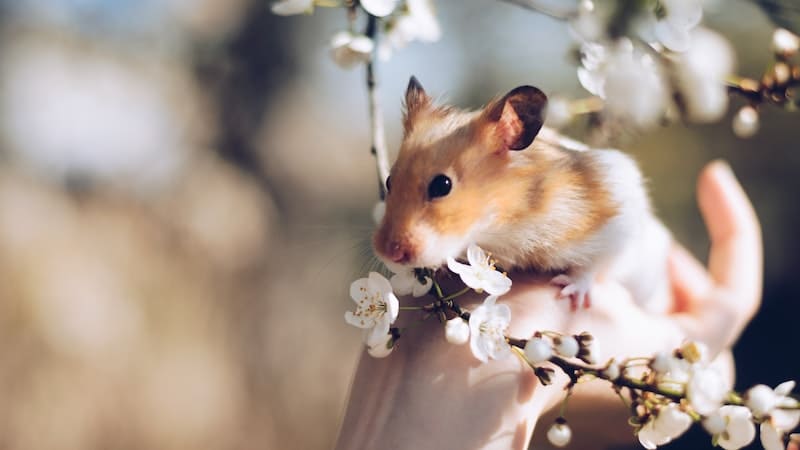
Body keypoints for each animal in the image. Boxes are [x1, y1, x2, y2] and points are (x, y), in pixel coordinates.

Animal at [373, 76, 671, 311]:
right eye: (388, 181)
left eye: (442, 185)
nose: (388, 253)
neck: (503, 224)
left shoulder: (618, 217)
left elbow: (594, 265)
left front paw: (569, 292)